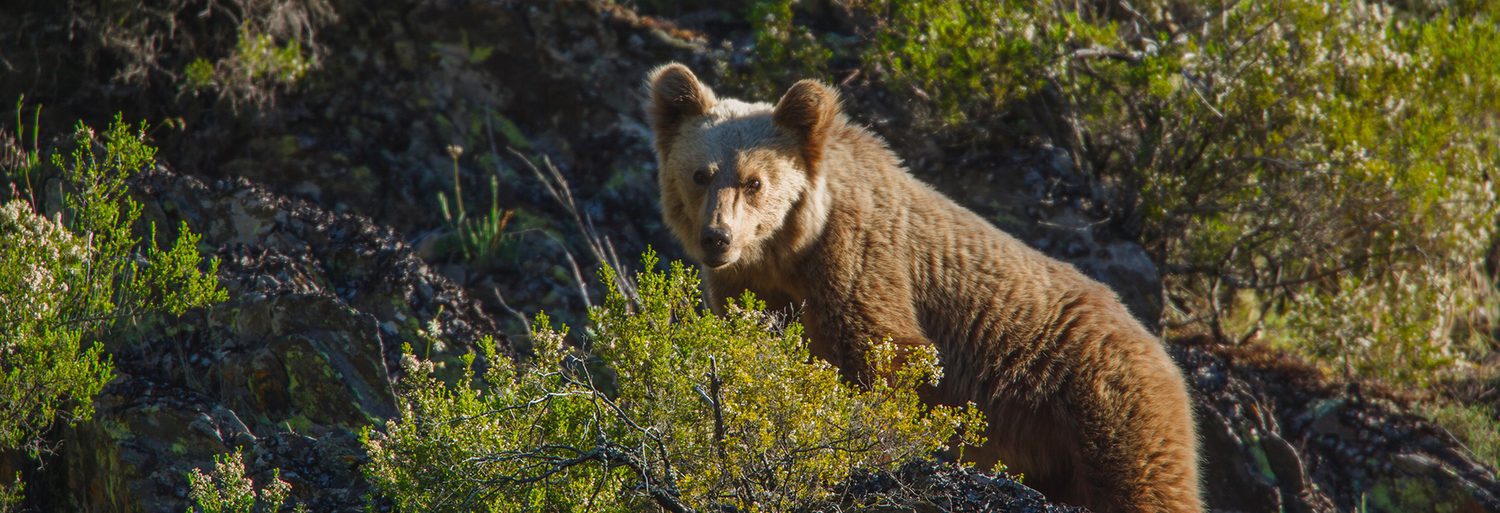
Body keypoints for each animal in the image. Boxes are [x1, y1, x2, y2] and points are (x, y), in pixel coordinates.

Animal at [648, 64, 1206, 513]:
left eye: (754, 181)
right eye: (700, 174)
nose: (717, 236)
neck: (788, 251)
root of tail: (1160, 349)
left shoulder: (859, 262)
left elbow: (886, 355)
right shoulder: (749, 286)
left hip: (1103, 404)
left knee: (1145, 484)